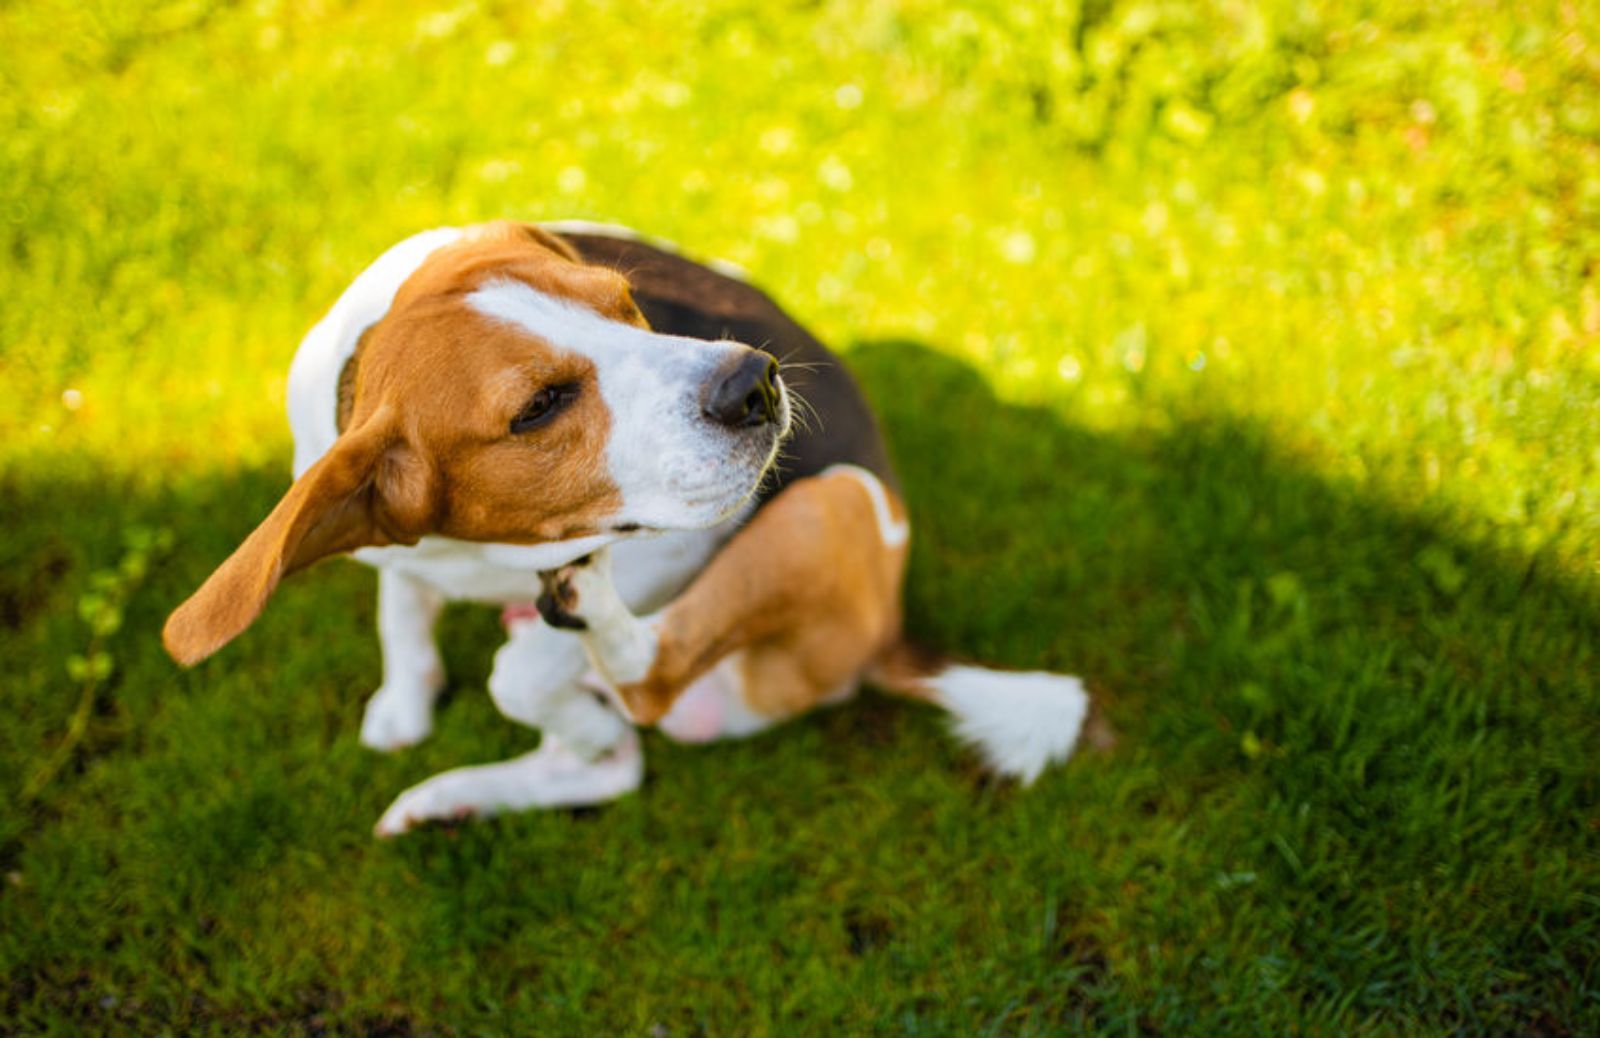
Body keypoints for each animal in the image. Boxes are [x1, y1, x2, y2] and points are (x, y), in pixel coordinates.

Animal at [165, 220, 1088, 831]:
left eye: (628, 301)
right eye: (539, 406)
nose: (756, 383)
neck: (478, 546)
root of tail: (888, 631)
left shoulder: (684, 540)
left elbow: (521, 671)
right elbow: (402, 604)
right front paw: (405, 699)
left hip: (829, 504)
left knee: (642, 684)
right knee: (615, 766)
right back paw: (456, 797)